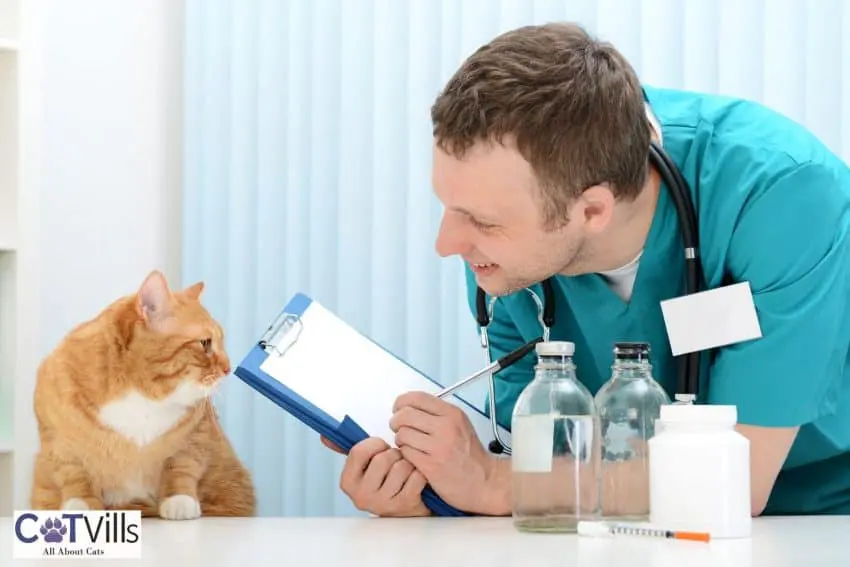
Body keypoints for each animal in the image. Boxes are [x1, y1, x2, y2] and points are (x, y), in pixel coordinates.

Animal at [29, 270, 255, 520]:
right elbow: (76, 476)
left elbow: (181, 469)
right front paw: (81, 504)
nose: (228, 368)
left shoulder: (196, 436)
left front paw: (180, 501)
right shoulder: (59, 441)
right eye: (205, 343)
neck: (143, 396)